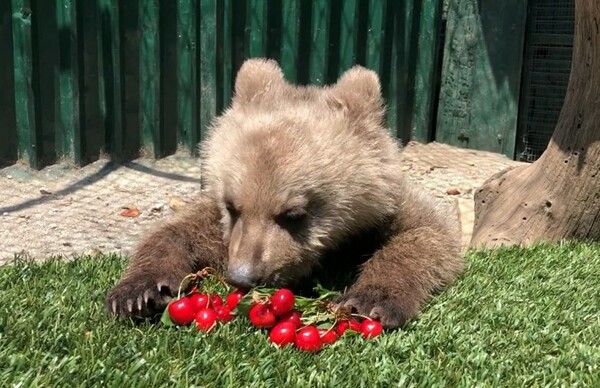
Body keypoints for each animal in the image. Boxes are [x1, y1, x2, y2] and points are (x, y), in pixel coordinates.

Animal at [106, 57, 464, 328]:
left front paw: (368, 300)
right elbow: (176, 231)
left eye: (294, 214)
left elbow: (428, 235)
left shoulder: (387, 209)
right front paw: (138, 294)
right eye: (231, 206)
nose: (243, 276)